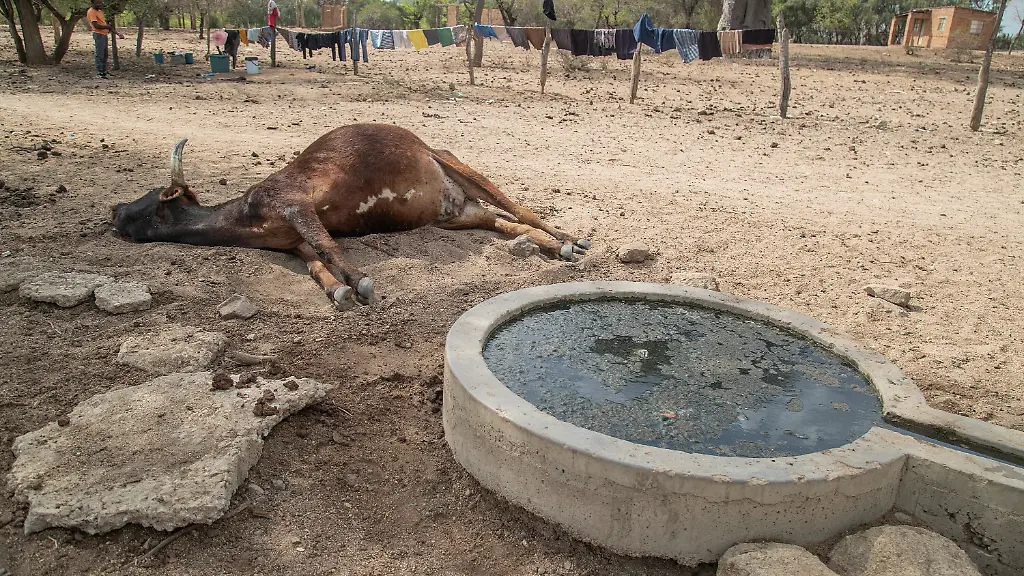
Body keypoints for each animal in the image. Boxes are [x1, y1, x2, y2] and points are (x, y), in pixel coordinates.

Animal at [111, 123, 590, 310]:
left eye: (152, 200)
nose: (114, 211)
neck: (246, 216)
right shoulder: (293, 242)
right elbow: (316, 262)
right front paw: (337, 289)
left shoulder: (293, 204)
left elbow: (328, 246)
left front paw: (359, 281)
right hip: (457, 215)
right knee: (504, 223)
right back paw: (554, 246)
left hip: (457, 165)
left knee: (519, 208)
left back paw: (570, 238)